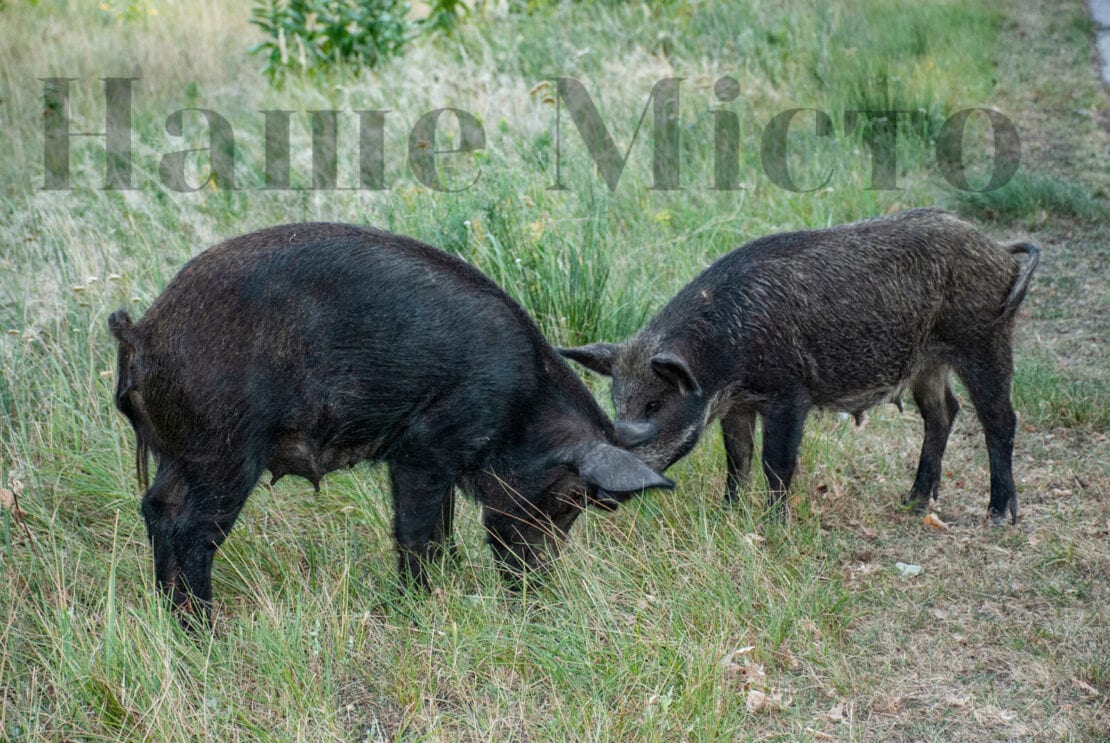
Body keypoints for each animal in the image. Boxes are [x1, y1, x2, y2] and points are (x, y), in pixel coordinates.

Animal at [112, 222, 670, 621]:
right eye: (569, 499)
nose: (540, 590)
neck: (522, 405)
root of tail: (142, 334)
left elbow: (442, 529)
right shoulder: (423, 449)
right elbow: (417, 532)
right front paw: (418, 605)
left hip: (181, 454)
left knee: (156, 507)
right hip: (224, 449)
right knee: (191, 531)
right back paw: (206, 630)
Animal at [563, 208, 1038, 521]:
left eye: (655, 405)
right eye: (618, 403)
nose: (599, 495)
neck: (722, 358)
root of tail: (999, 250)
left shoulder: (789, 394)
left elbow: (776, 462)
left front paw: (771, 525)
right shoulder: (736, 406)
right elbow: (737, 458)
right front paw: (728, 514)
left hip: (984, 339)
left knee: (1000, 418)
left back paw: (999, 515)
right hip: (928, 363)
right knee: (943, 413)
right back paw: (915, 502)